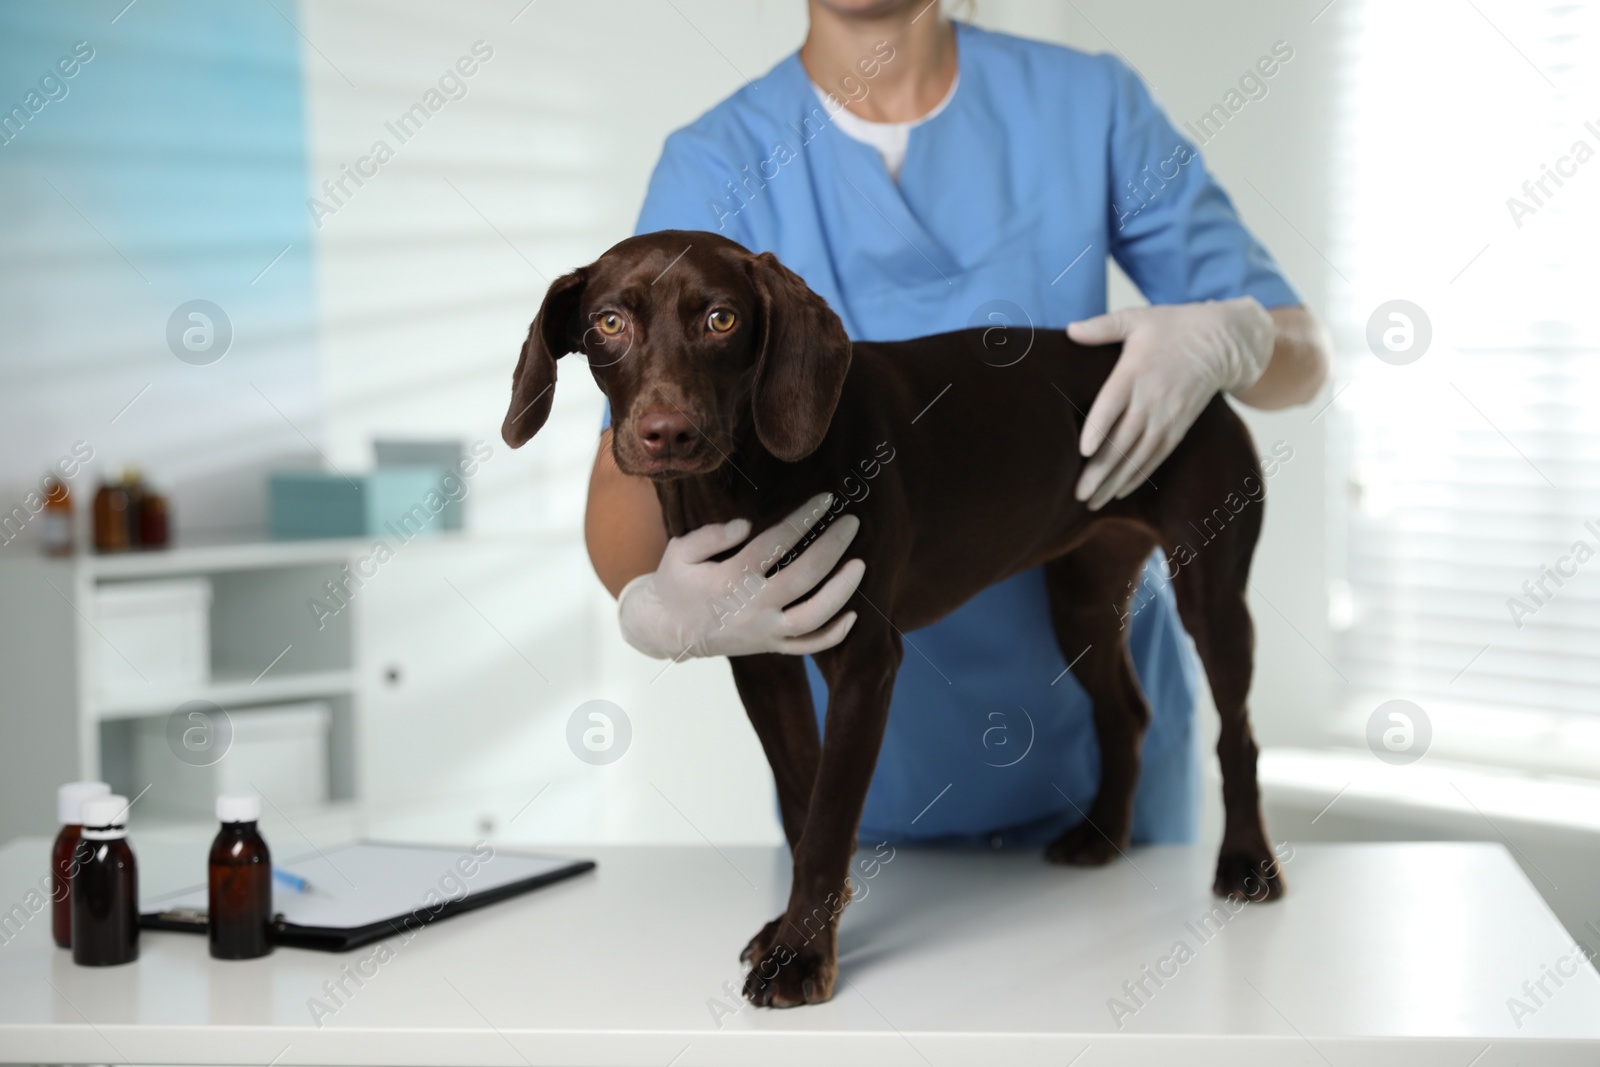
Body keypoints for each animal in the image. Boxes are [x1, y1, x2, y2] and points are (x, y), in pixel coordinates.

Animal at [502, 230, 1286, 1004]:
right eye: (610, 322)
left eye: (721, 319)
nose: (668, 434)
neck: (749, 482)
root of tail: (1205, 389)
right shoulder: (760, 660)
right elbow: (804, 803)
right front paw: (799, 925)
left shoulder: (865, 663)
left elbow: (827, 820)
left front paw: (799, 955)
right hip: (1081, 604)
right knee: (1127, 711)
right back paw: (1104, 837)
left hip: (1212, 596)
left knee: (1238, 734)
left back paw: (1247, 861)